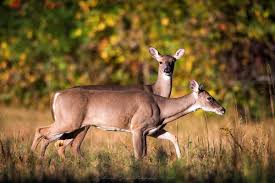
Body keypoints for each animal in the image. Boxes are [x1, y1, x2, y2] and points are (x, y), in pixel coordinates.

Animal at [32, 80, 225, 159]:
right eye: (210, 98)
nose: (223, 109)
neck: (162, 108)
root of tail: (57, 94)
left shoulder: (152, 130)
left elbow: (173, 137)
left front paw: (180, 159)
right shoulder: (137, 127)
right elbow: (139, 154)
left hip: (76, 125)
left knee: (55, 141)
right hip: (69, 121)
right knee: (42, 131)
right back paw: (35, 158)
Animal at [51, 47, 185, 157]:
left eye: (173, 61)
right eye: (160, 61)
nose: (167, 70)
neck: (156, 91)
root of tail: (57, 95)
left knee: (61, 145)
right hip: (82, 125)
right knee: (72, 146)